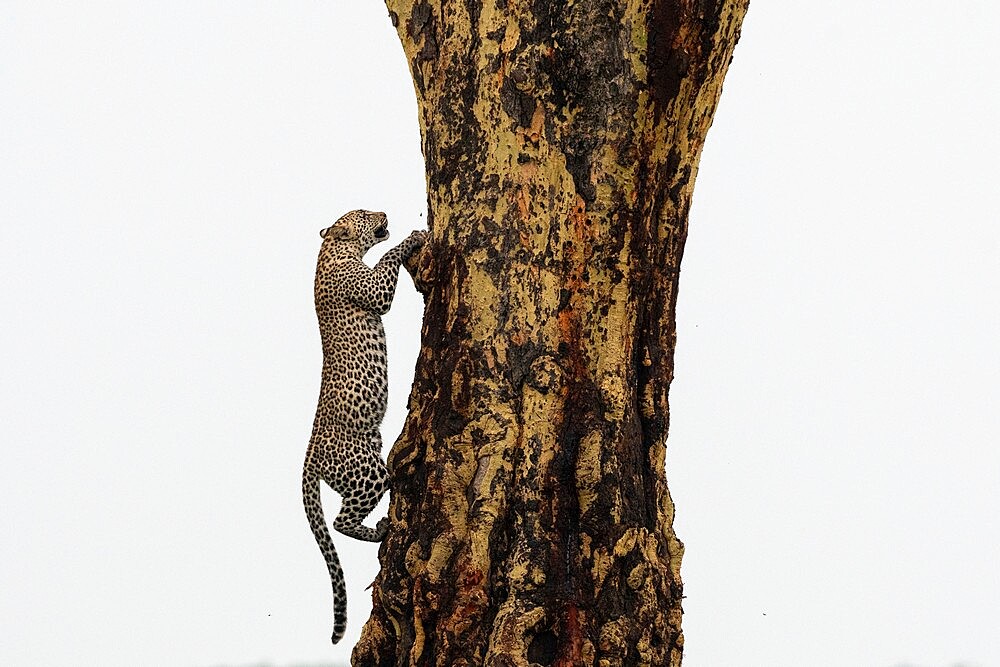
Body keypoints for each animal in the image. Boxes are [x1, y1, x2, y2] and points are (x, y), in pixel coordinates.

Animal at [302, 210, 428, 648]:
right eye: (361, 214)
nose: (383, 213)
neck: (330, 250)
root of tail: (308, 460)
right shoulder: (373, 290)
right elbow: (388, 258)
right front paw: (414, 237)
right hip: (366, 471)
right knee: (341, 521)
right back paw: (381, 529)